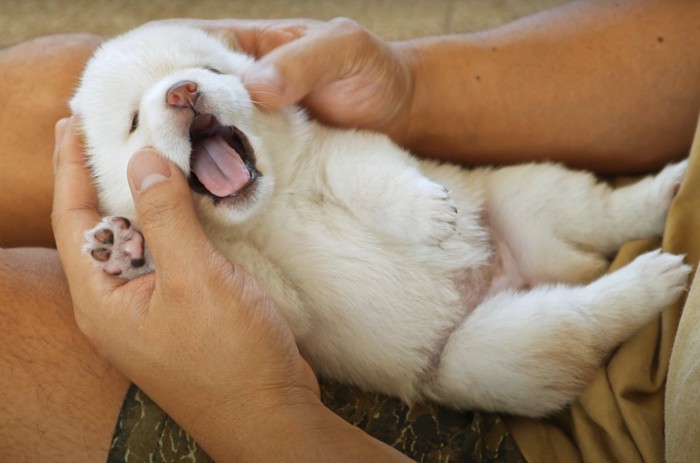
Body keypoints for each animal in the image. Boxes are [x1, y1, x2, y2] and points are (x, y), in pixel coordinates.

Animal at [69, 23, 688, 418]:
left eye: (208, 68)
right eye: (132, 120)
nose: (183, 91)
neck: (269, 207)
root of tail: (522, 272)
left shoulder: (347, 149)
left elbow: (375, 181)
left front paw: (428, 213)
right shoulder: (282, 306)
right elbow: (240, 267)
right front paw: (128, 246)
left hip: (525, 195)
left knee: (604, 213)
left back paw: (666, 206)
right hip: (490, 351)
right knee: (582, 316)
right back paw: (650, 275)